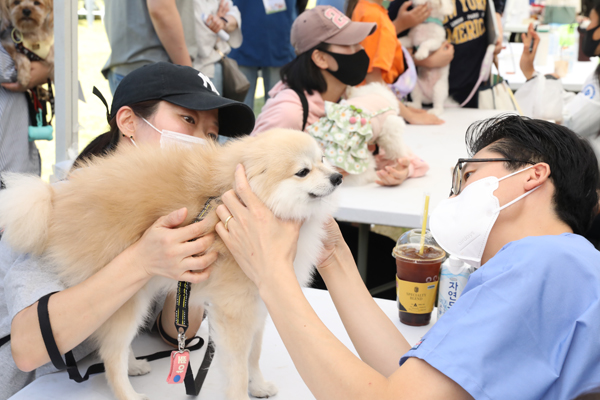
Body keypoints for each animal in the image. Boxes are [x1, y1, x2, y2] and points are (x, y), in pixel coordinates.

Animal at [0, 130, 342, 398]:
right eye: (303, 171)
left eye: (324, 159)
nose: (338, 177)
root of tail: (55, 202)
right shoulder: (235, 311)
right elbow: (236, 368)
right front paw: (242, 392)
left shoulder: (260, 301)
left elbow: (253, 356)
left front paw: (257, 386)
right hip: (126, 296)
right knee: (110, 353)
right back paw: (128, 394)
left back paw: (134, 366)